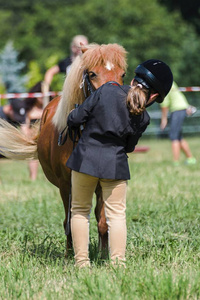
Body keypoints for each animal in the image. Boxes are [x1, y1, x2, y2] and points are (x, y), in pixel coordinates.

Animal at [0, 42, 127, 255]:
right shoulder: (66, 185)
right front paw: (69, 255)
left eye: (122, 74)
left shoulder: (103, 183)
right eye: (92, 73)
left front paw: (103, 255)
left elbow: (102, 221)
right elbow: (69, 222)